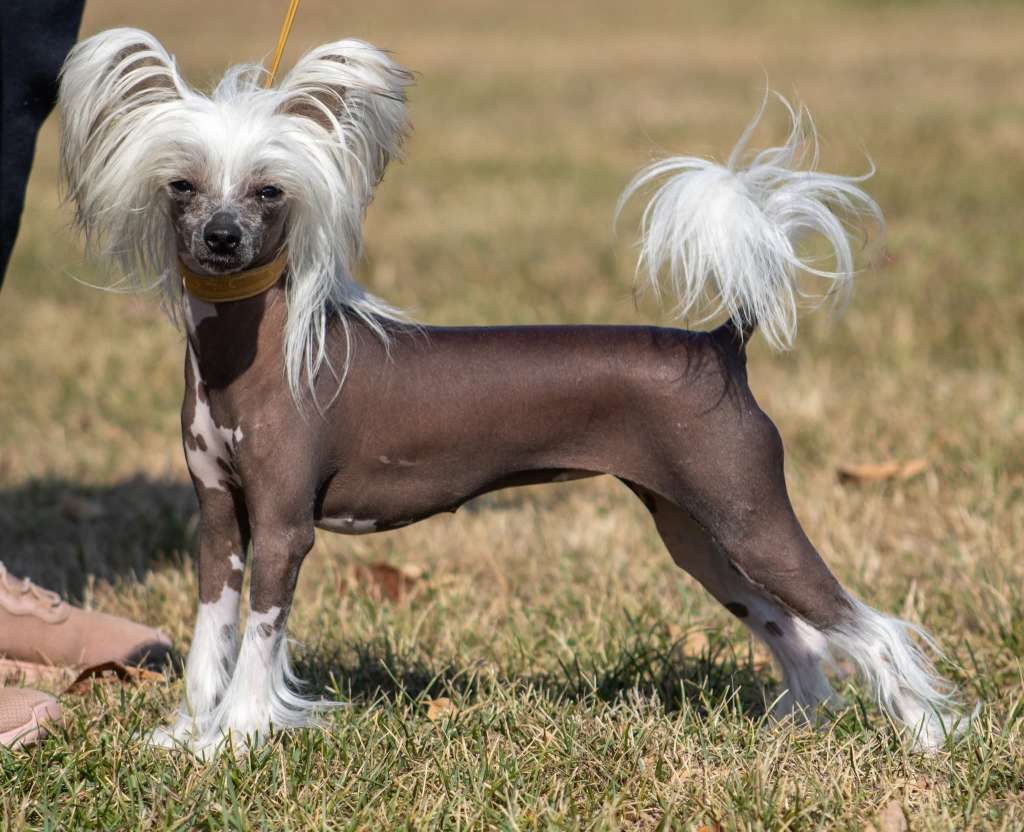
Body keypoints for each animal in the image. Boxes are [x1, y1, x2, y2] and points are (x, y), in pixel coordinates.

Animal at [57, 28, 964, 755]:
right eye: (182, 186)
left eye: (267, 191)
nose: (221, 238)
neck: (248, 354)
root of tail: (719, 344)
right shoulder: (220, 523)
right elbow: (211, 638)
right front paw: (186, 733)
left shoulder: (283, 528)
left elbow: (258, 643)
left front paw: (236, 740)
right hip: (698, 531)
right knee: (794, 629)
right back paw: (804, 722)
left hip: (749, 516)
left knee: (866, 626)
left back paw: (929, 736)